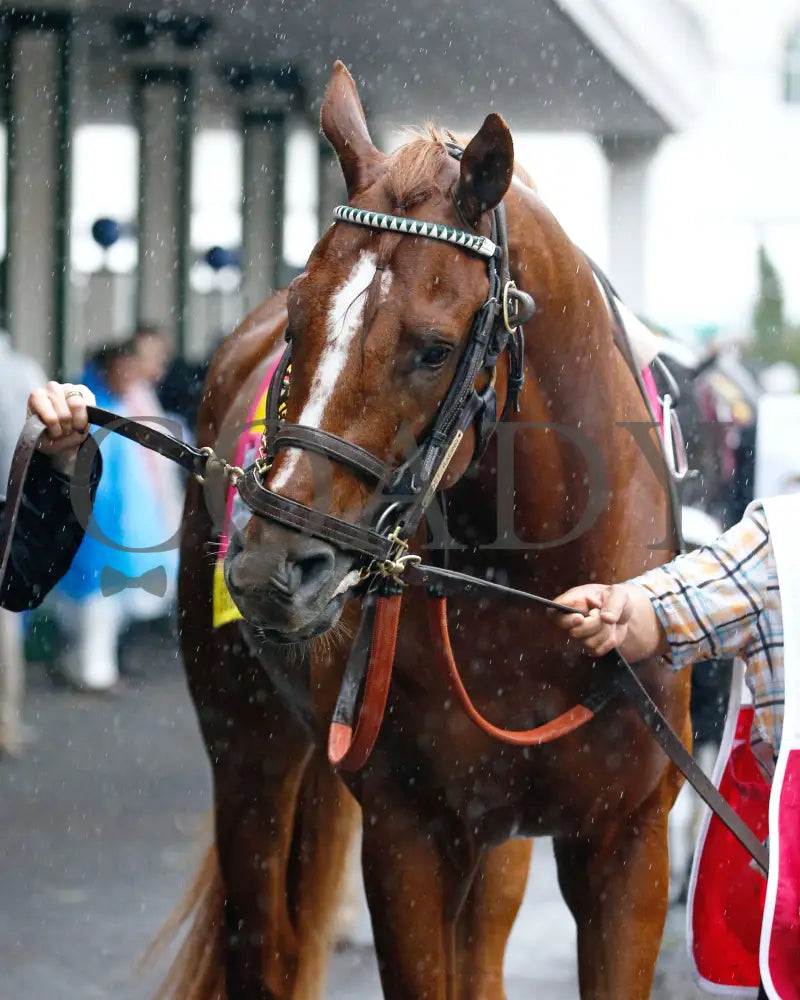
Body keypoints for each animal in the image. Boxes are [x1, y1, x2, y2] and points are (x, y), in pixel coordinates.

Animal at [162, 64, 688, 1000]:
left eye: (436, 349)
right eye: (298, 319)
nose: (268, 569)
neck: (537, 599)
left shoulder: (626, 844)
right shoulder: (410, 838)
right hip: (246, 746)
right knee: (259, 938)